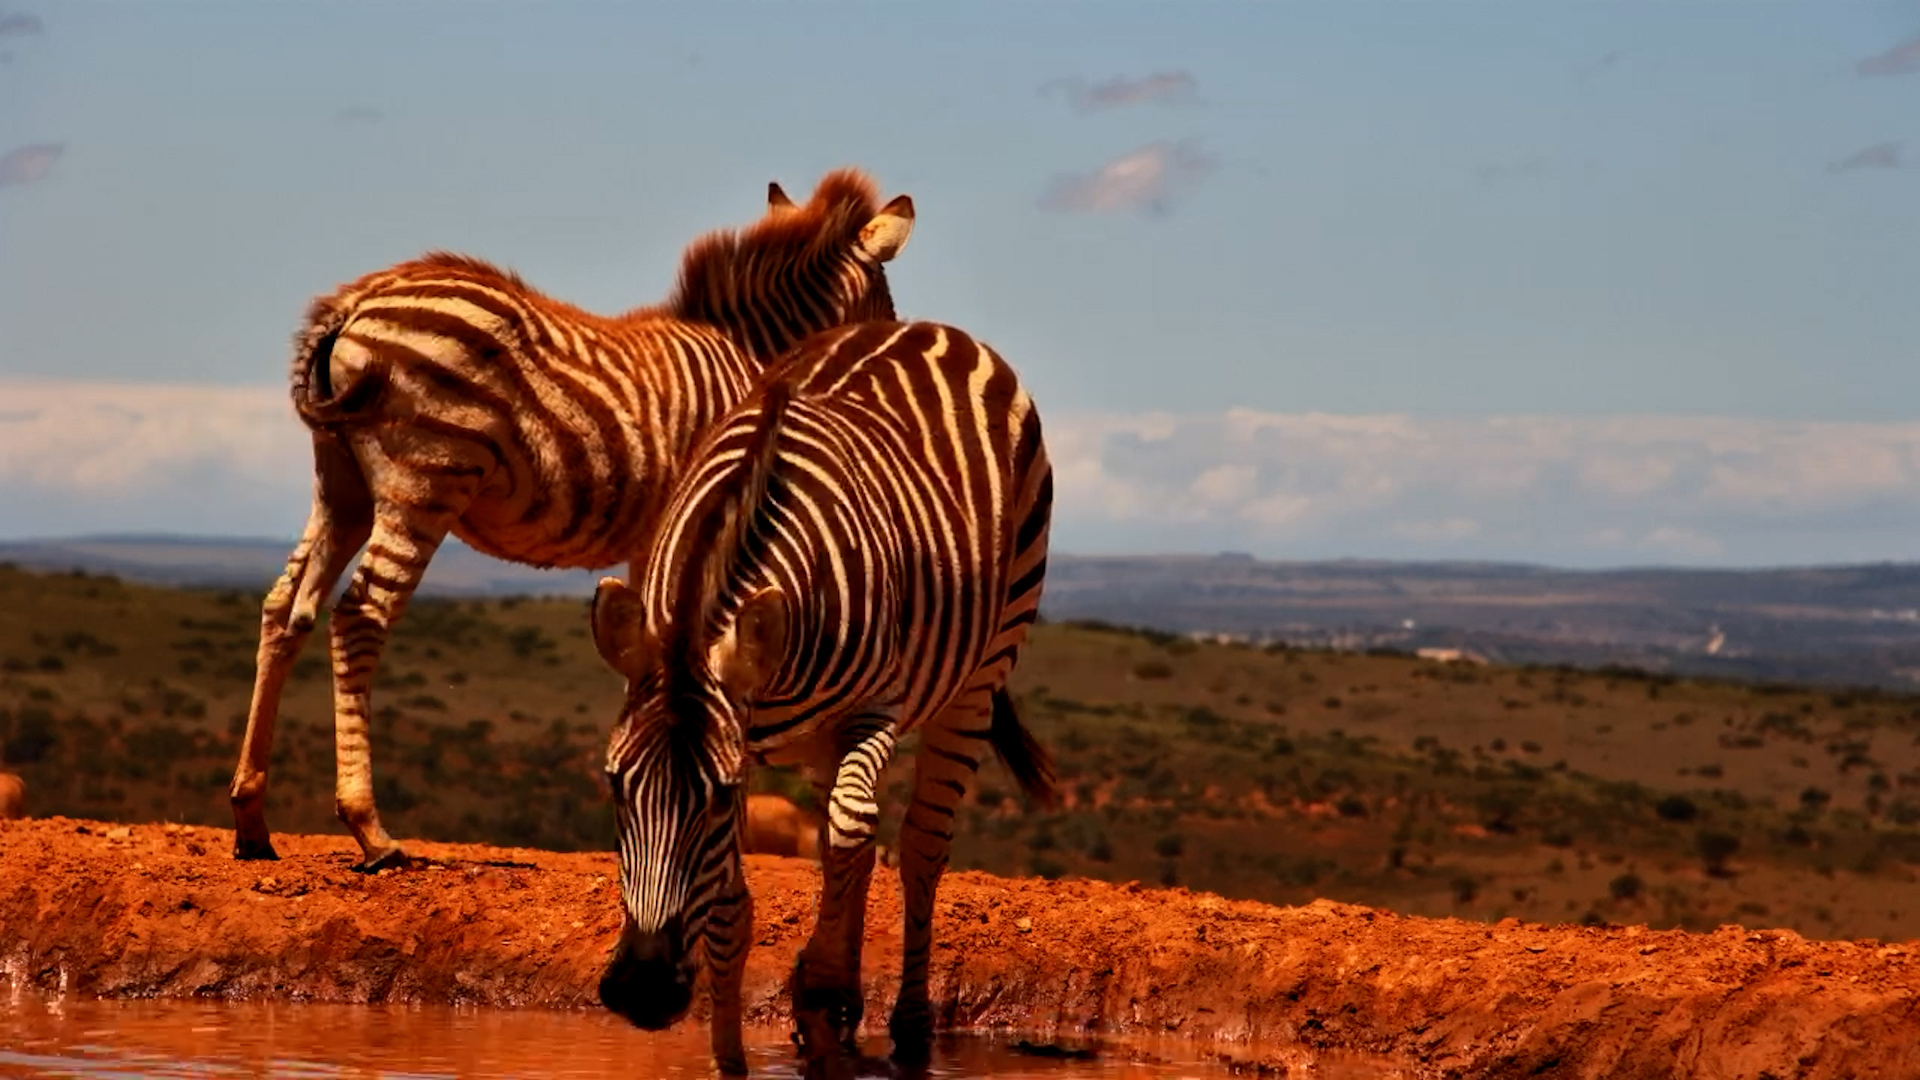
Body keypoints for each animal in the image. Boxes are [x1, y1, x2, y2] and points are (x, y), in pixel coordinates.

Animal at [227, 169, 917, 871]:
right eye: (886, 297)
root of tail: (353, 304)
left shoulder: (658, 537)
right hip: (424, 475)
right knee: (360, 614)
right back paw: (370, 827)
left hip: (341, 485)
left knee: (286, 608)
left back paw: (251, 817)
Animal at [587, 320, 1055, 1076]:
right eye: (612, 783)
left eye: (717, 795)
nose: (644, 991)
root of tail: (929, 329)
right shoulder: (746, 734)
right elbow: (734, 906)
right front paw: (732, 1056)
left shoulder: (869, 713)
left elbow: (852, 831)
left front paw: (823, 983)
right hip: (818, 738)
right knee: (854, 841)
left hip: (979, 673)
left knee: (914, 841)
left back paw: (903, 1021)